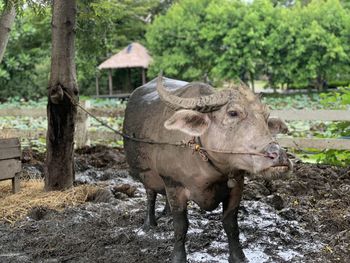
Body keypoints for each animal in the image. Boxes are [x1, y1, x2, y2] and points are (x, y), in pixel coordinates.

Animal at [123, 75, 292, 262]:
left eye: (266, 117)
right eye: (233, 113)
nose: (279, 156)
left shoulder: (237, 186)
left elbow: (231, 224)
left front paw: (238, 256)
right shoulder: (174, 184)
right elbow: (181, 226)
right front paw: (178, 257)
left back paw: (166, 213)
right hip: (147, 174)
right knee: (150, 195)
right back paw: (149, 224)